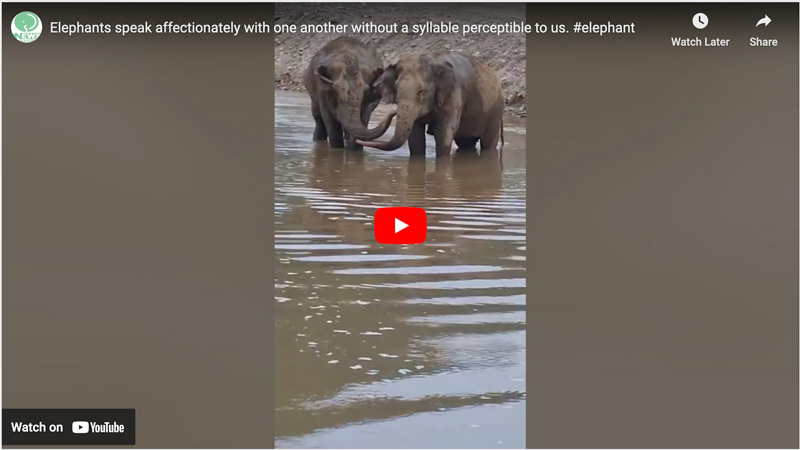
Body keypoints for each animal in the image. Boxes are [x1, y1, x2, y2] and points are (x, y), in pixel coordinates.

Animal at [358, 52, 504, 158]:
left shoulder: (454, 96)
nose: (358, 141)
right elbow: (415, 137)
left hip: (495, 112)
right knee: (466, 143)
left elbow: (444, 133)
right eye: (396, 88)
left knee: (488, 144)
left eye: (422, 92)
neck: (432, 59)